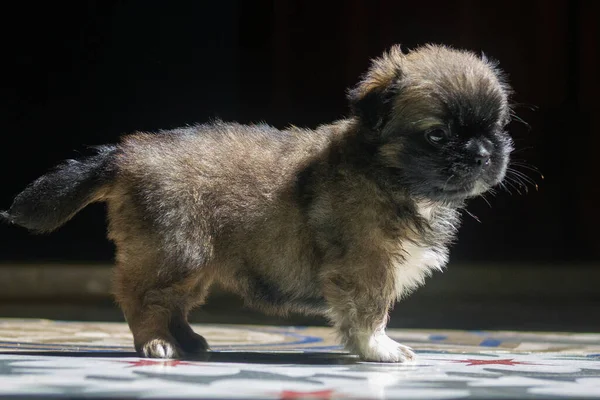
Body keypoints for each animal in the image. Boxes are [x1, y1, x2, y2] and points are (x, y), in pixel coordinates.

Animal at [2, 44, 512, 362]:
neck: (389, 175)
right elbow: (370, 311)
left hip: (191, 265)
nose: (483, 153)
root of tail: (127, 154)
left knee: (172, 305)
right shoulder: (366, 267)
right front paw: (379, 349)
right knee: (141, 299)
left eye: (497, 127)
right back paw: (156, 344)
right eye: (437, 135)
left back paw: (188, 341)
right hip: (176, 253)